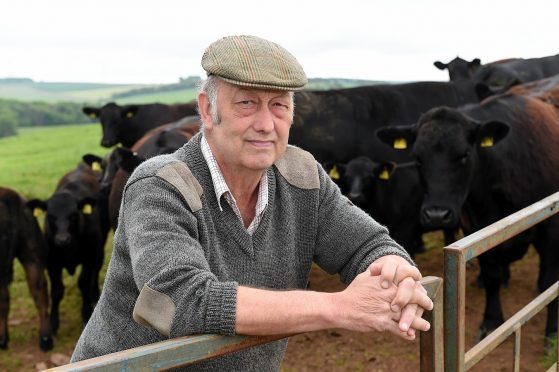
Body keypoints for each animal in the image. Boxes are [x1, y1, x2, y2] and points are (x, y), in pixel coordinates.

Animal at [26, 161, 109, 332]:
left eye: (73, 215)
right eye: (50, 216)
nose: (62, 239)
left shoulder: (89, 257)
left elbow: (84, 283)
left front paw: (86, 313)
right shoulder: (52, 263)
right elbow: (57, 290)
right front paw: (53, 322)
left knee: (95, 272)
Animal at [376, 75, 559, 342]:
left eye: (464, 155)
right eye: (418, 159)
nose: (437, 215)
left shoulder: (550, 229)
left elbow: (549, 282)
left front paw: (552, 332)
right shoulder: (475, 227)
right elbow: (492, 275)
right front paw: (491, 321)